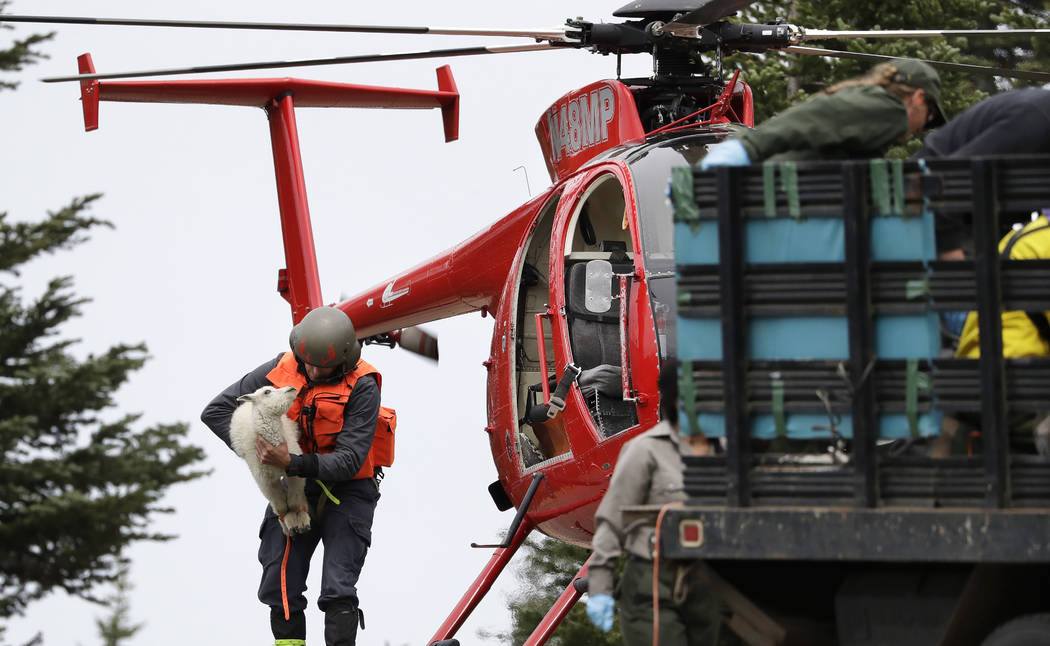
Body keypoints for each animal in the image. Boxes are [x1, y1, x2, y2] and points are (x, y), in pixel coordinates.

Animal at [230, 384, 308, 535]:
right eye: (267, 392)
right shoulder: (265, 481)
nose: (291, 388)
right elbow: (281, 507)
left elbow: (294, 502)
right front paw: (288, 525)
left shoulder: (295, 473)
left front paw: (299, 521)